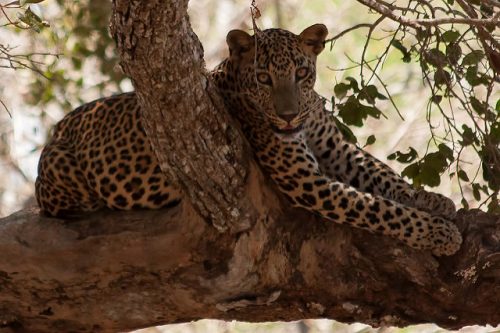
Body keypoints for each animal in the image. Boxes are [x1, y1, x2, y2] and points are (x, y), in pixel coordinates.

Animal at [36, 24, 460, 256]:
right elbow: (377, 208)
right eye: (264, 78)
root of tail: (56, 130)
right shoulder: (306, 181)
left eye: (302, 72)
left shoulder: (335, 149)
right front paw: (439, 233)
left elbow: (383, 177)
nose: (288, 116)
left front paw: (433, 200)